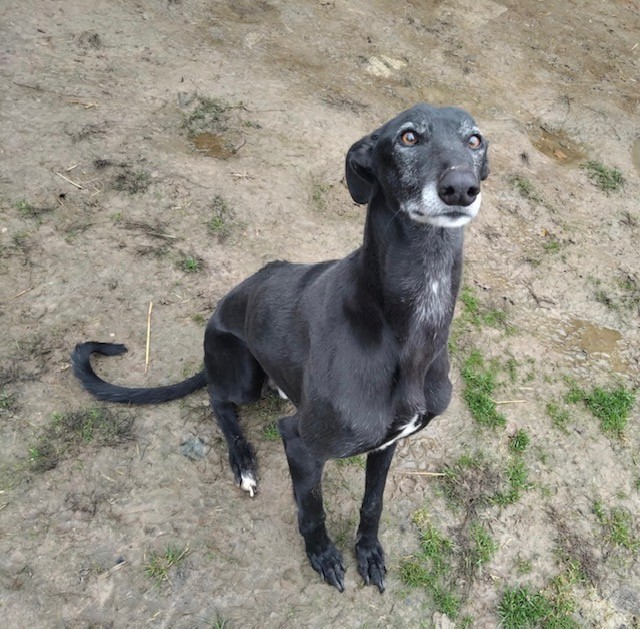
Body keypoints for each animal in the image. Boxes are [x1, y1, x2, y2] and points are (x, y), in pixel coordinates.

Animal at [72, 103, 489, 593]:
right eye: (408, 137)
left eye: (475, 140)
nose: (461, 187)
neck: (407, 328)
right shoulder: (301, 443)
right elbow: (312, 511)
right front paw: (323, 556)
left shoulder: (388, 442)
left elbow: (373, 503)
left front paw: (368, 552)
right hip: (241, 373)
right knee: (218, 401)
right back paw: (243, 462)